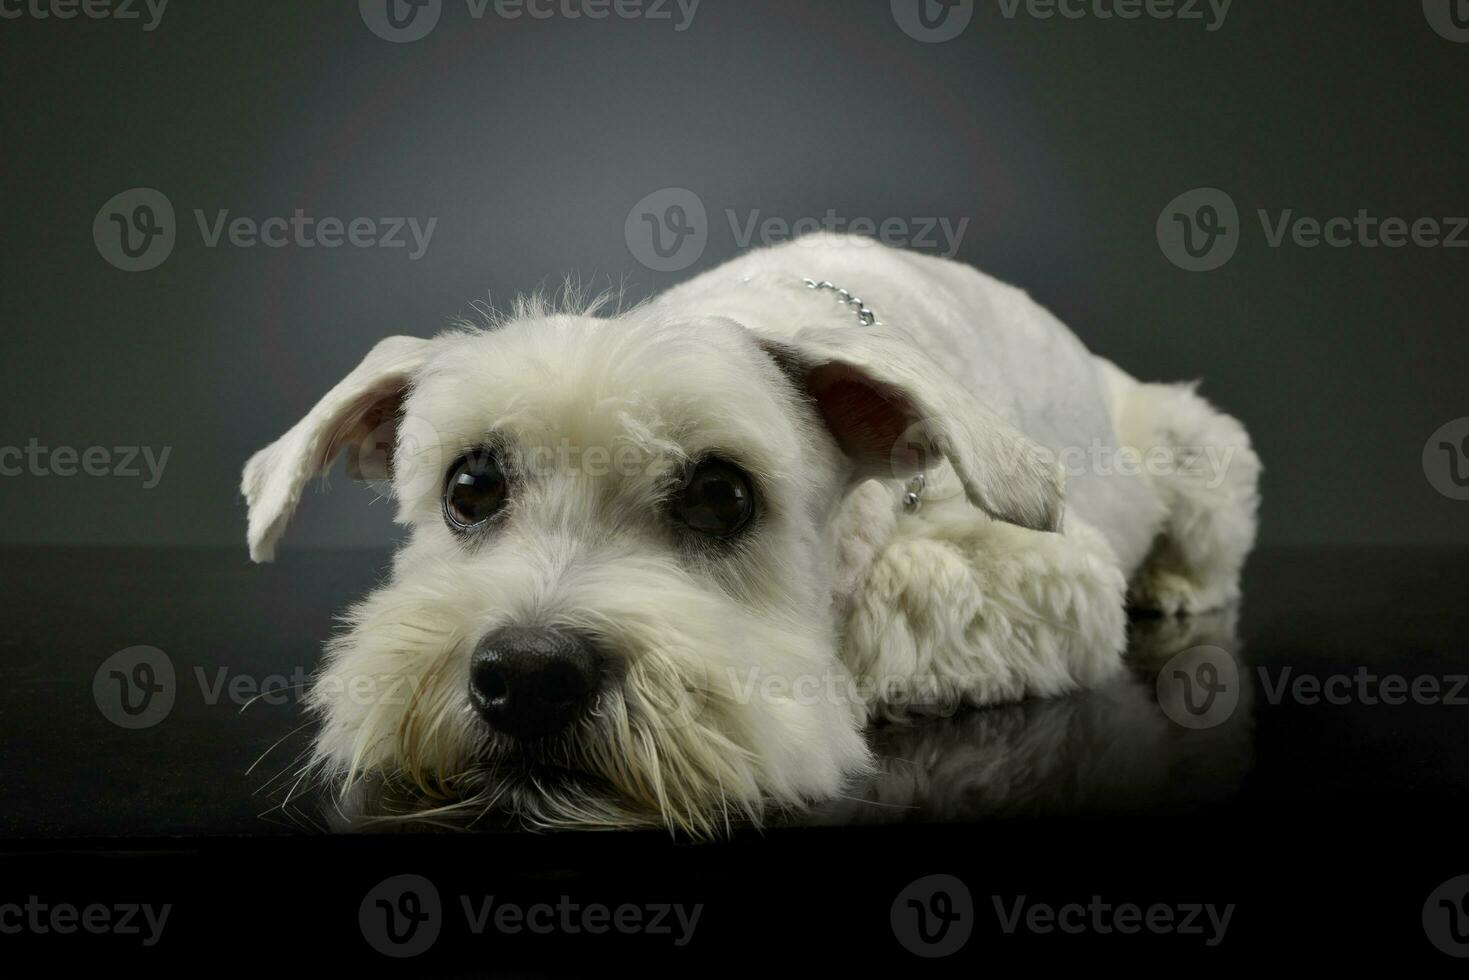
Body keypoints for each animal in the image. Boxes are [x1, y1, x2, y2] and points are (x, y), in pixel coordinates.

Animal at [243, 235, 1263, 834]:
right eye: (470, 485)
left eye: (720, 495)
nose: (526, 680)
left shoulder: (1037, 572)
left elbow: (910, 599)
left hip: (1196, 448)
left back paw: (1174, 585)